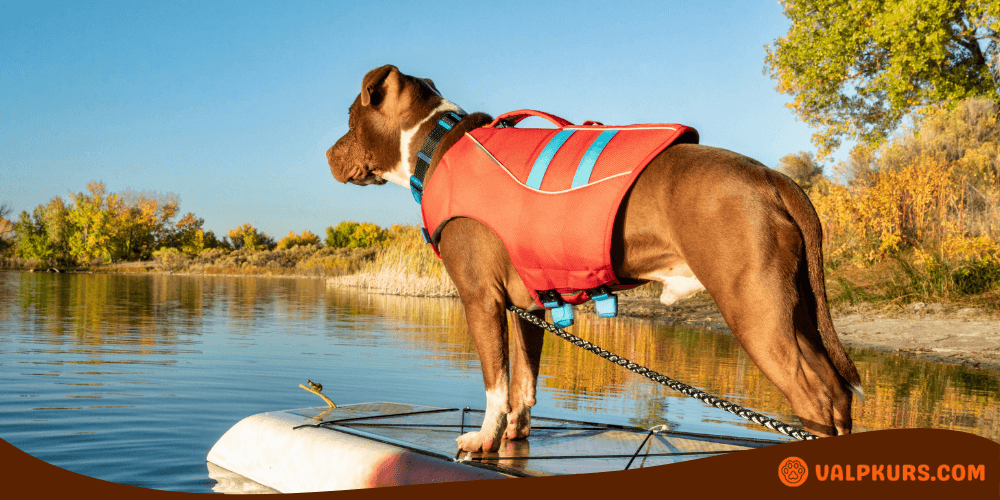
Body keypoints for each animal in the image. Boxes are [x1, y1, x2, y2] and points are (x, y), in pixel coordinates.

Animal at [328, 64, 860, 452]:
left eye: (350, 121)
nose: (329, 153)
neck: (434, 143)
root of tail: (773, 177)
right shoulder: (526, 307)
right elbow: (524, 381)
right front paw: (515, 434)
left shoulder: (480, 299)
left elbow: (496, 381)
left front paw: (483, 439)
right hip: (793, 311)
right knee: (835, 394)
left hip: (755, 310)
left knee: (816, 397)